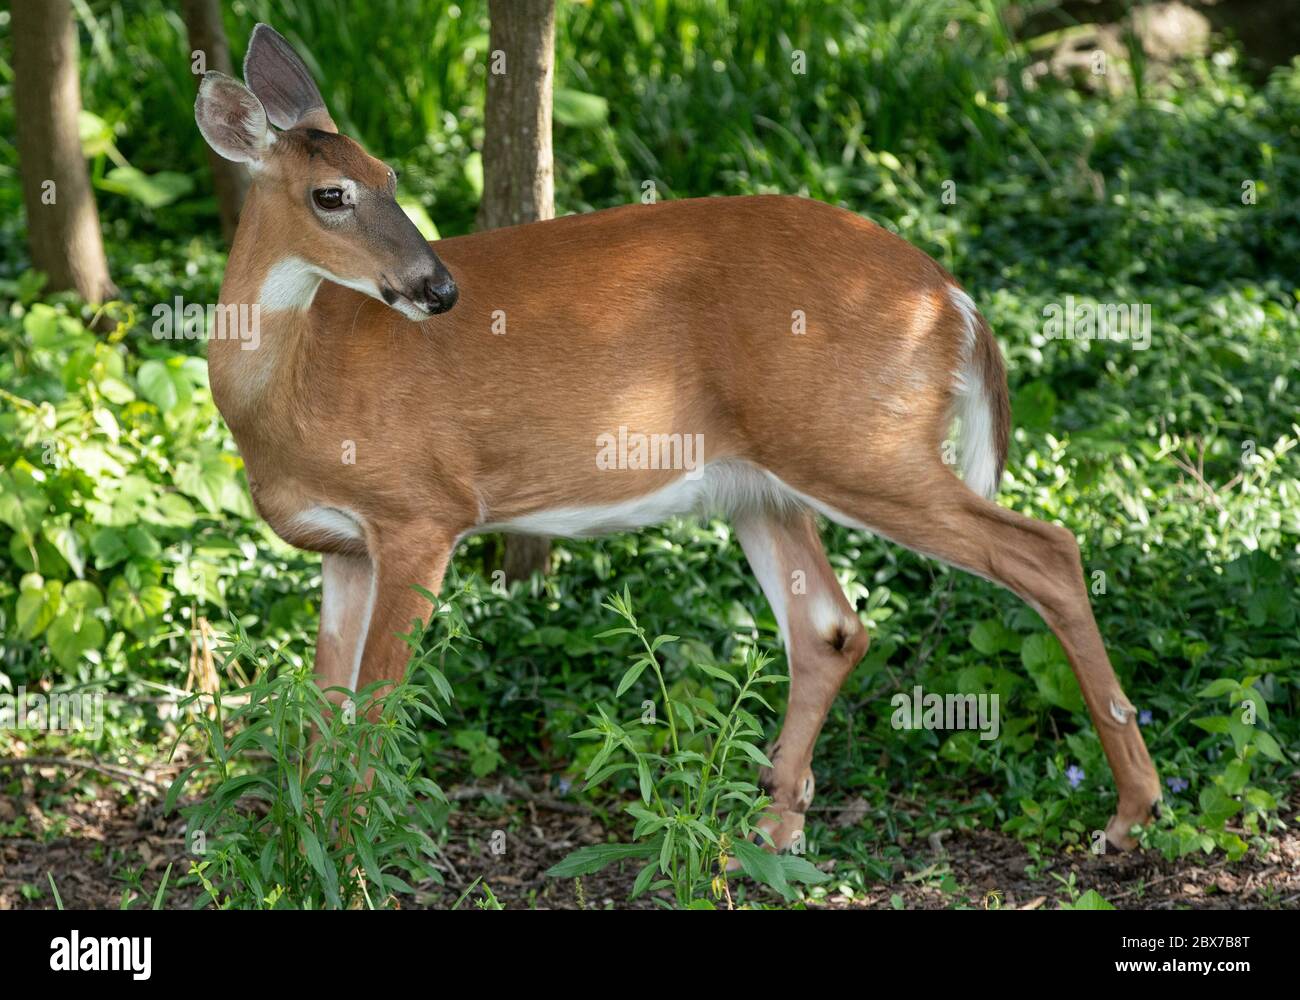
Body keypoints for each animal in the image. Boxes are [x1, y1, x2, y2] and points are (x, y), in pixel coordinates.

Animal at [194, 24, 1161, 856]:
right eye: (333, 192)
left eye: (391, 175)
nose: (438, 289)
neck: (297, 392)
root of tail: (954, 302)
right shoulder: (342, 548)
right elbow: (321, 712)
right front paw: (303, 848)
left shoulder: (421, 510)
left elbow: (374, 707)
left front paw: (351, 856)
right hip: (764, 481)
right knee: (832, 627)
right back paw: (772, 830)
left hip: (858, 443)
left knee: (1045, 550)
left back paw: (1129, 815)